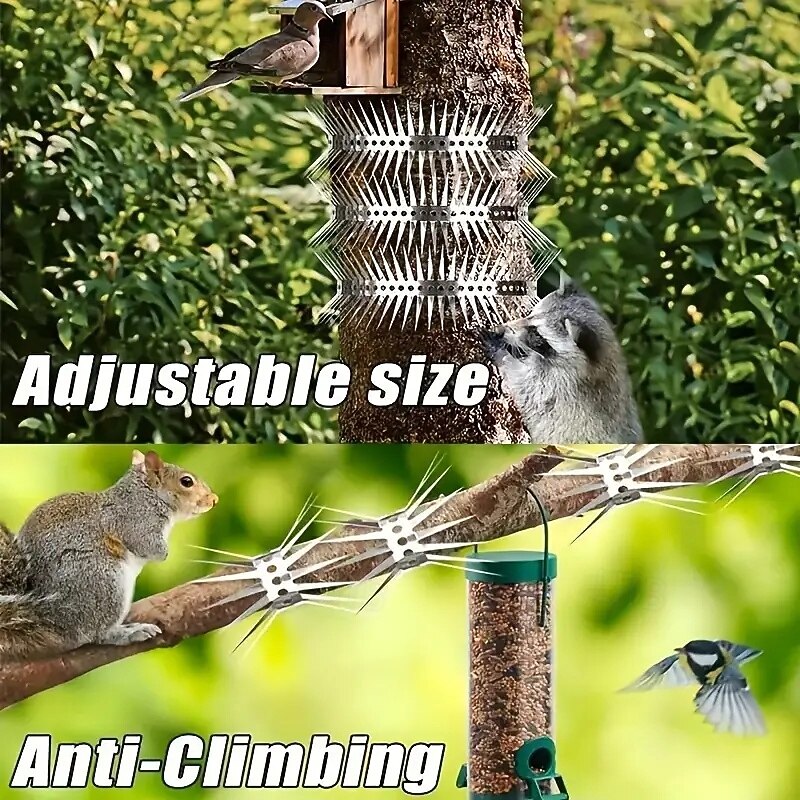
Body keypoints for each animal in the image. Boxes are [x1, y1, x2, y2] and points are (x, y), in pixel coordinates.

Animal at [0, 450, 217, 663]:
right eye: (186, 481)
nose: (214, 499)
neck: (146, 493)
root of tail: (51, 615)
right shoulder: (136, 521)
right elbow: (151, 548)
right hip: (104, 582)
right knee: (94, 634)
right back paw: (129, 633)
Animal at [481, 281, 644, 444]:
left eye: (537, 334)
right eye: (530, 315)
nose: (500, 330)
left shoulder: (560, 386)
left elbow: (526, 390)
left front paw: (502, 355)